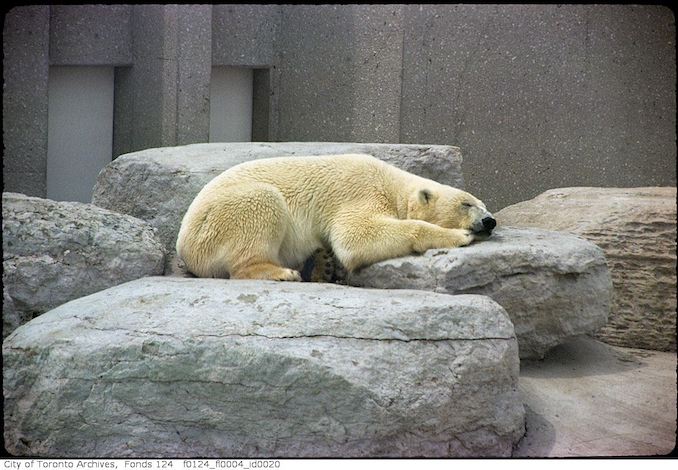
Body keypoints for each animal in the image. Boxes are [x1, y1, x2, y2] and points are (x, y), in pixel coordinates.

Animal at [175, 152, 496, 280]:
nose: (490, 221)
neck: (392, 184)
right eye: (466, 204)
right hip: (217, 221)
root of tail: (183, 246)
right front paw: (458, 235)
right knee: (262, 203)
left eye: (483, 203)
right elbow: (355, 237)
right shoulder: (360, 190)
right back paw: (282, 273)